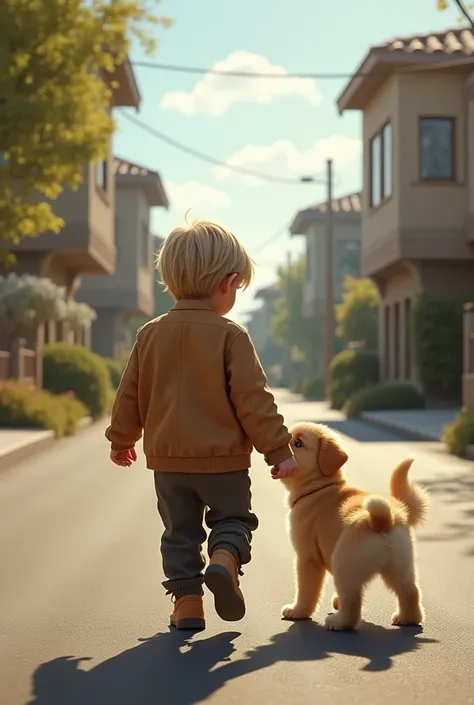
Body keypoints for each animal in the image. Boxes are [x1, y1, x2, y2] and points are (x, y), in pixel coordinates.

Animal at [278, 420, 430, 628]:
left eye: (298, 443)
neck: (319, 488)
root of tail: (382, 520)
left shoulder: (307, 558)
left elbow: (307, 590)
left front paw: (298, 611)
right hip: (399, 565)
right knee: (409, 591)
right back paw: (407, 618)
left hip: (345, 563)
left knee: (352, 600)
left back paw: (339, 622)